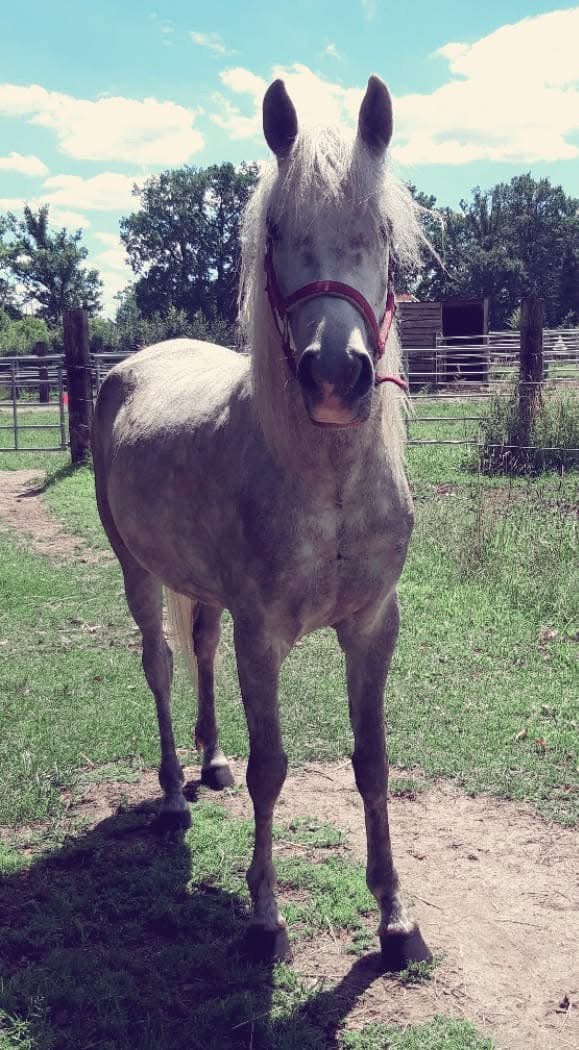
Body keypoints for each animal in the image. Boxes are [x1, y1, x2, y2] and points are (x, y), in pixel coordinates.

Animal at [92, 74, 431, 970]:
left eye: (381, 234)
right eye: (276, 231)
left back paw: (208, 762)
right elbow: (271, 770)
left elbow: (372, 762)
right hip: (137, 571)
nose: (335, 377)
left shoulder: (373, 627)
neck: (326, 484)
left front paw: (394, 918)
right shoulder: (264, 634)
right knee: (161, 665)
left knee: (199, 650)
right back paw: (175, 796)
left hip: (201, 590)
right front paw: (264, 917)